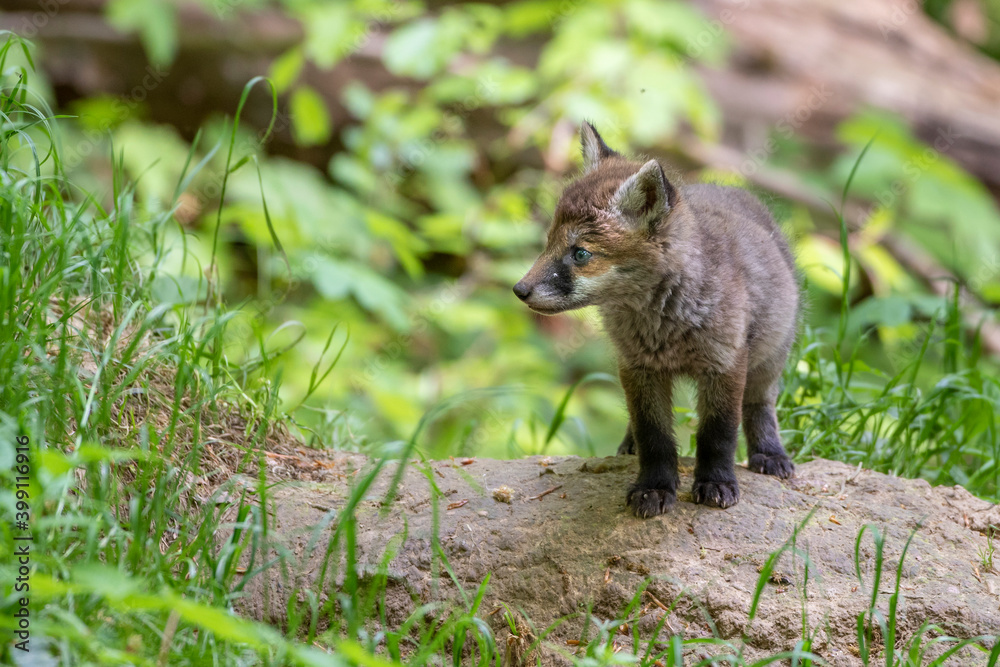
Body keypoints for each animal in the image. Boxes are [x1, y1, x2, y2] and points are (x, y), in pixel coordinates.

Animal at [516, 125, 796, 520]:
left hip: (768, 362)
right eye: (548, 243)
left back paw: (770, 453)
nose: (519, 290)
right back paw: (627, 447)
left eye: (581, 254)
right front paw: (655, 487)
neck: (663, 327)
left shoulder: (725, 364)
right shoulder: (639, 368)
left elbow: (718, 434)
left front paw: (716, 482)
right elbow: (654, 436)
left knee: (760, 407)